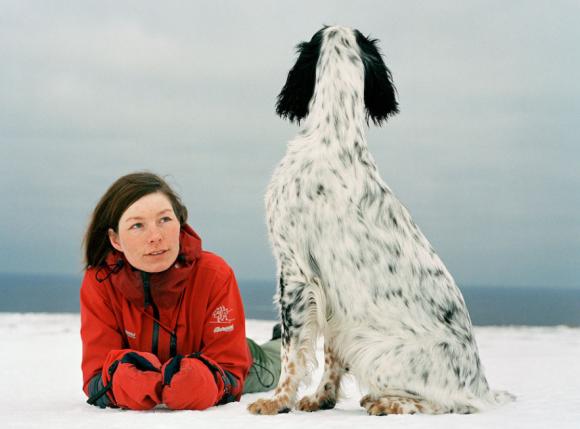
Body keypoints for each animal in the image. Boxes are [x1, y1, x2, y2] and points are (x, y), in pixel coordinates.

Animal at [247, 25, 516, 412]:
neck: (334, 137)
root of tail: (482, 388)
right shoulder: (334, 295)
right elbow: (331, 353)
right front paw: (321, 398)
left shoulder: (294, 271)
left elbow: (291, 353)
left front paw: (276, 401)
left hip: (378, 354)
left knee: (449, 404)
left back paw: (386, 402)